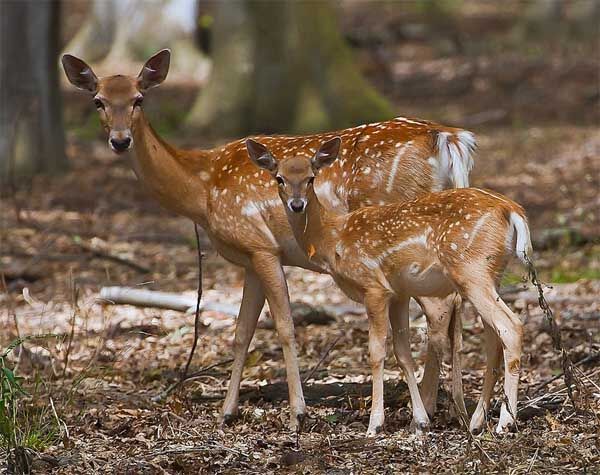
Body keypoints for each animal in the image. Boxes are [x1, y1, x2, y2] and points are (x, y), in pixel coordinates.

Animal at [59, 49, 474, 432]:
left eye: (138, 98)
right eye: (98, 100)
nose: (120, 140)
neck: (202, 190)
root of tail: (448, 138)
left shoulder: (262, 246)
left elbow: (285, 326)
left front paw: (298, 413)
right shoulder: (248, 257)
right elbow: (242, 332)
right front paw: (226, 412)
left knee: (441, 310)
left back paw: (430, 408)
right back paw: (444, 406)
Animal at [246, 137, 532, 436]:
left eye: (311, 177)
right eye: (279, 178)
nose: (297, 204)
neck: (332, 238)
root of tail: (513, 210)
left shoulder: (373, 286)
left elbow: (376, 352)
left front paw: (375, 424)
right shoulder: (399, 293)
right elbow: (403, 354)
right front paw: (420, 421)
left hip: (471, 270)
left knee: (511, 327)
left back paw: (504, 423)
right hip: (490, 273)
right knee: (493, 338)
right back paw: (477, 421)